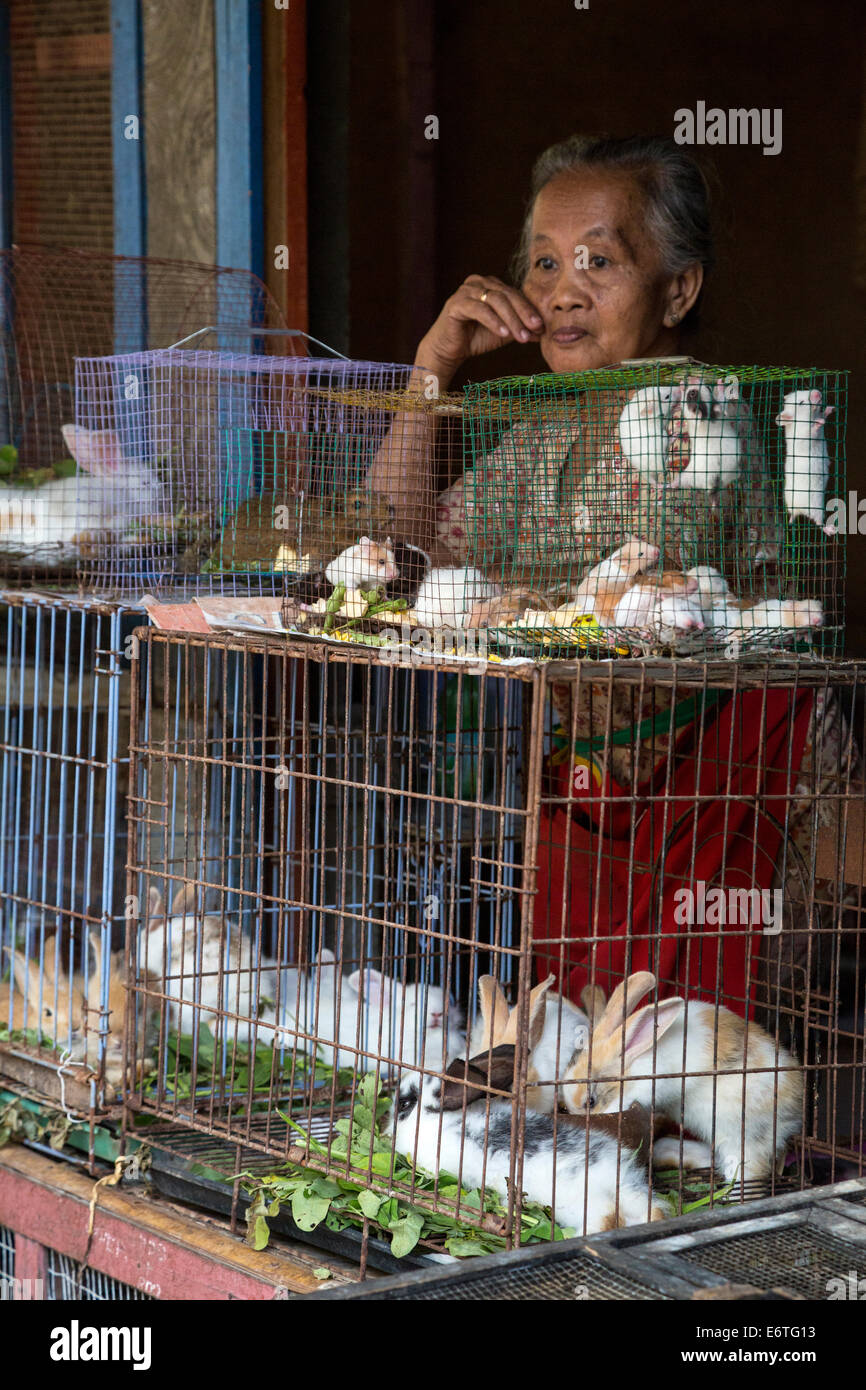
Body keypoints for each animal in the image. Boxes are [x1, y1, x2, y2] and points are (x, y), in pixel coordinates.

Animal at [389, 1067, 667, 1234]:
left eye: (404, 1103)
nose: (388, 1122)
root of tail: (613, 1177)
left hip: (577, 1204)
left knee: (608, 1217)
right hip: (635, 1196)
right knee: (653, 1211)